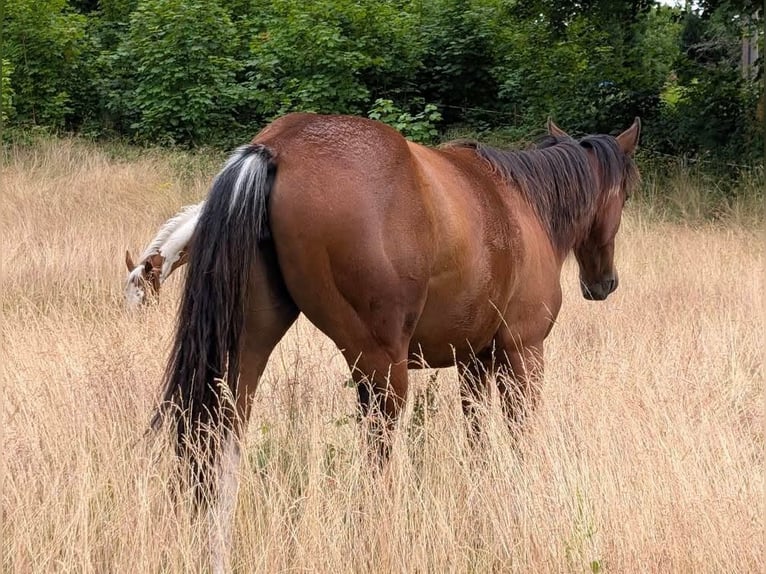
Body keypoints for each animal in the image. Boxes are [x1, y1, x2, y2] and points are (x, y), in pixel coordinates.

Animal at [150, 112, 641, 572]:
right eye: (626, 194)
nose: (604, 283)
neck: (524, 205)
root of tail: (279, 146)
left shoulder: (474, 361)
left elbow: (478, 443)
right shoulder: (524, 351)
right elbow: (520, 435)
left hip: (247, 350)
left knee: (220, 439)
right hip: (383, 371)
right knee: (376, 458)